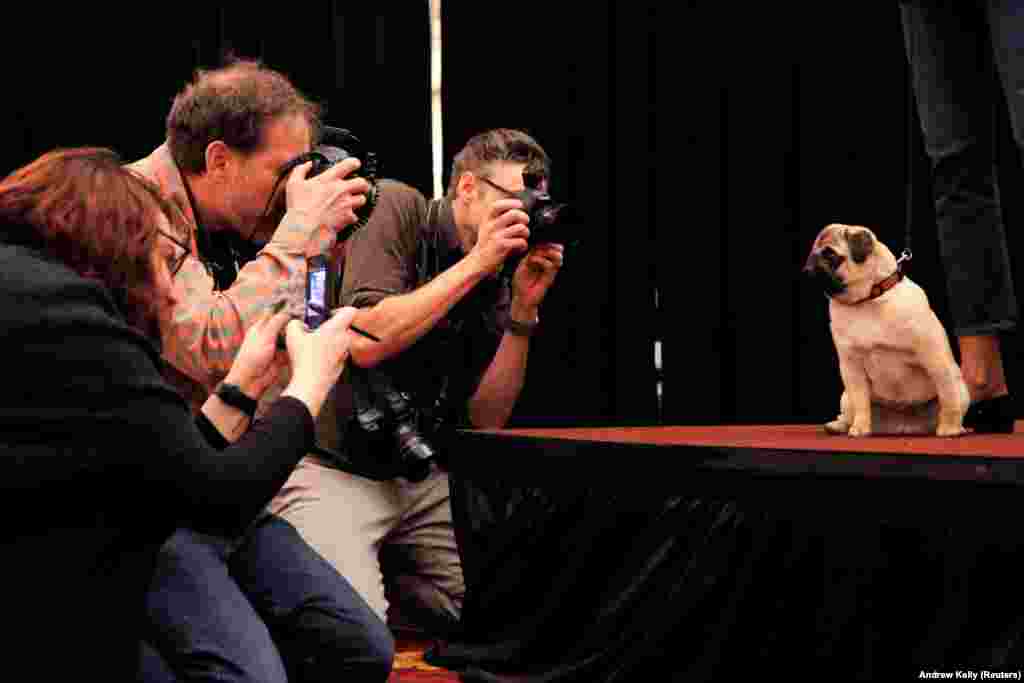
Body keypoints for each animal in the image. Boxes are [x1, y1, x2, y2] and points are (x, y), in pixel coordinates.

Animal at [798, 224, 966, 438]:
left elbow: (948, 396)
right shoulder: (851, 367)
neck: (869, 299)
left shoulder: (935, 359)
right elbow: (861, 403)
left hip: (961, 389)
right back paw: (840, 426)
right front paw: (860, 428)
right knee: (850, 412)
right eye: (812, 255)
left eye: (830, 255)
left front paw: (950, 427)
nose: (808, 269)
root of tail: (903, 425)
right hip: (845, 397)